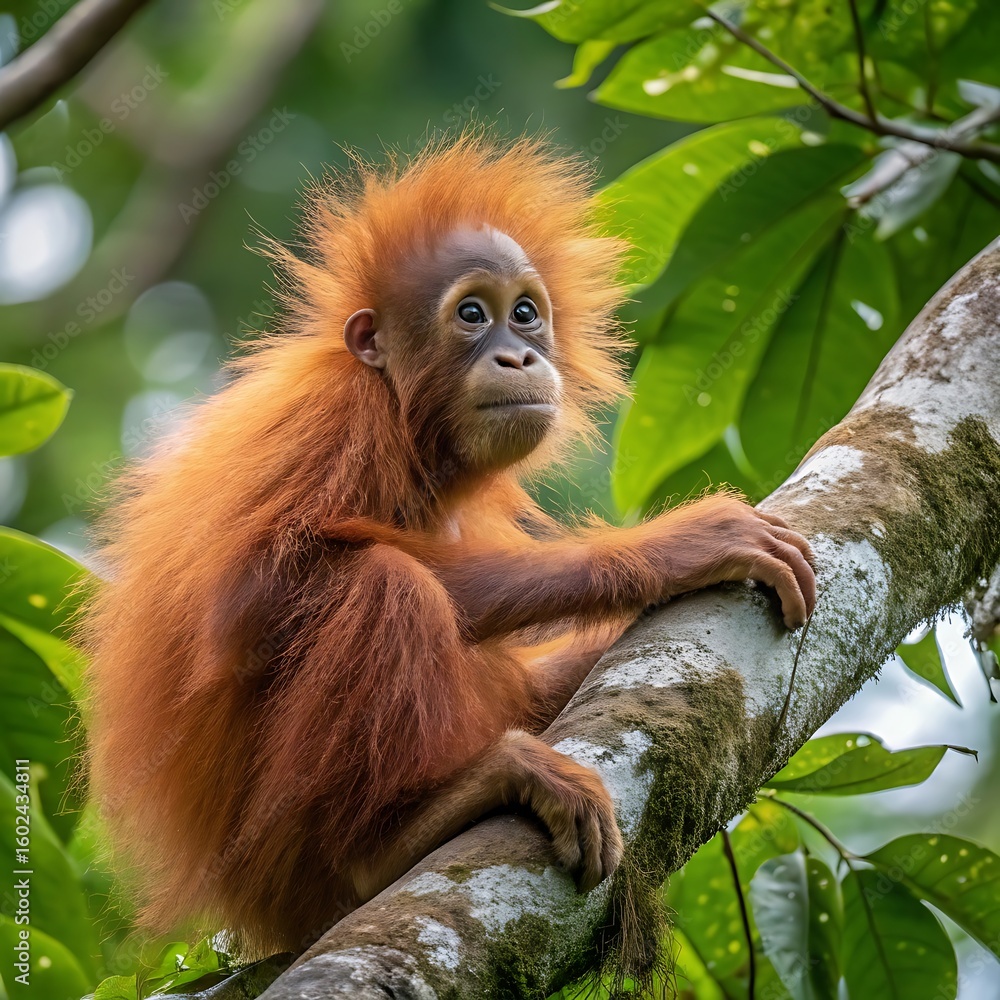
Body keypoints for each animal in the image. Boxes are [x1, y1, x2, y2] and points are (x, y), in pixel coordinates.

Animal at [82, 133, 815, 958]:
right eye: (471, 314)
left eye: (524, 315)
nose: (518, 356)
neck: (407, 421)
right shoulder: (335, 422)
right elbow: (258, 593)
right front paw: (678, 547)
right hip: (279, 864)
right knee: (382, 580)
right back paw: (394, 837)